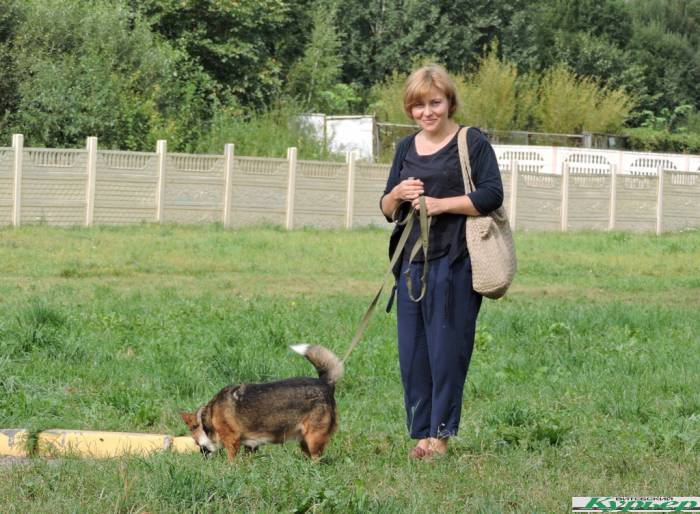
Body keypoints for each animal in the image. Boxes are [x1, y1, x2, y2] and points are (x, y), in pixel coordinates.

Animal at [180, 344, 344, 460]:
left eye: (196, 442)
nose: (202, 457)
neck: (209, 416)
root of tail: (325, 383)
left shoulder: (232, 441)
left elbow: (231, 460)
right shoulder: (250, 446)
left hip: (313, 438)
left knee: (317, 458)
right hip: (304, 440)